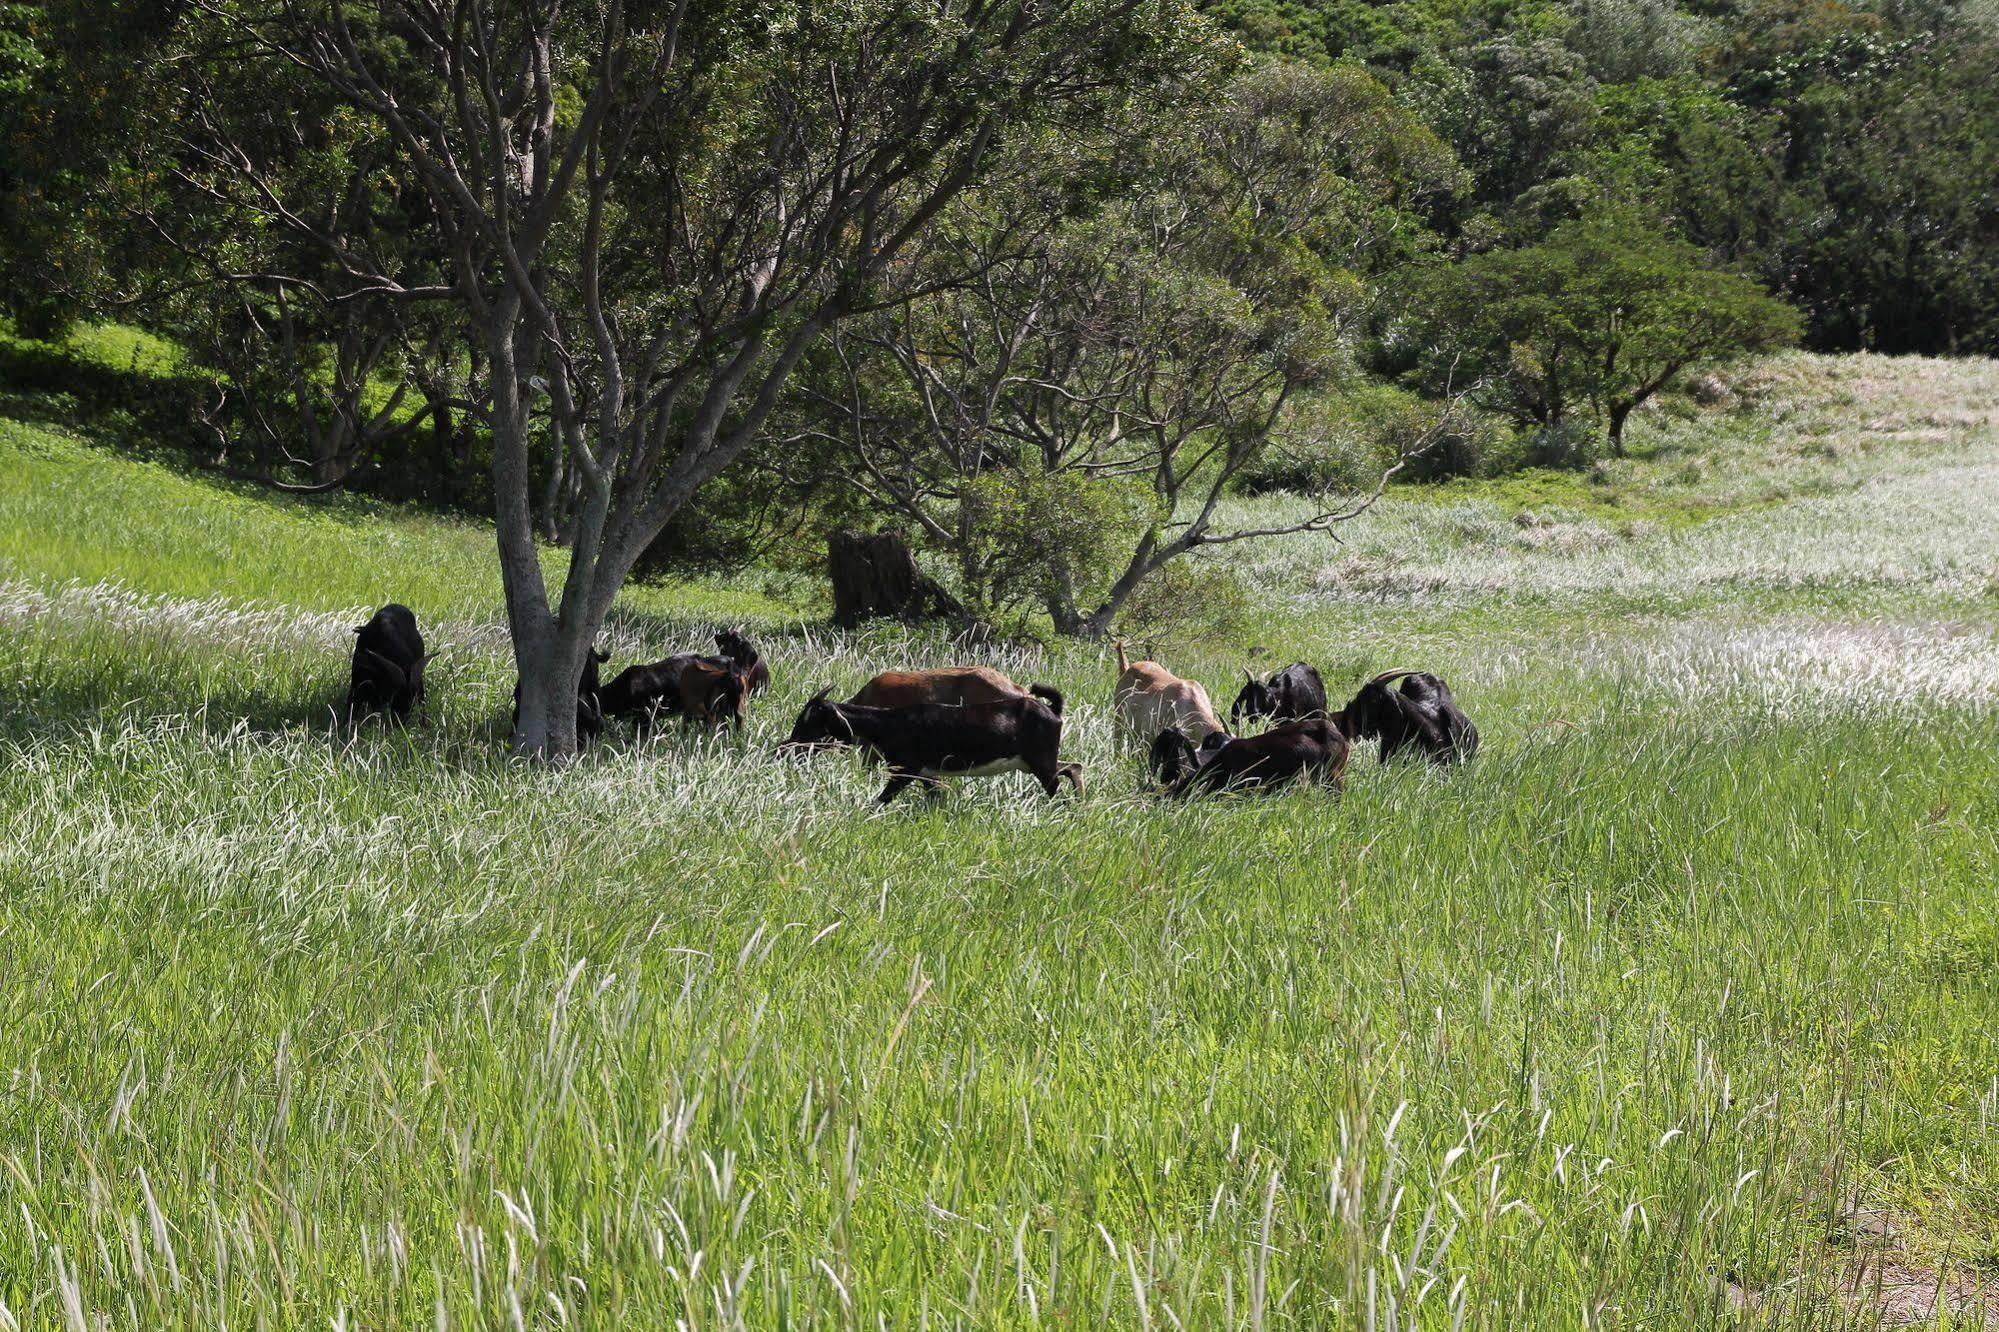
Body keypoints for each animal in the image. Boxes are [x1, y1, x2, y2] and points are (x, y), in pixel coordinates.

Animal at [775, 680, 1079, 804]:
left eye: (809, 719)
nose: (785, 747)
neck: (891, 724)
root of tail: (1053, 710)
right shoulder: (926, 774)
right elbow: (936, 798)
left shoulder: (905, 771)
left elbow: (881, 800)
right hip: (1034, 761)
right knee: (1072, 767)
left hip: (1040, 761)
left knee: (1057, 782)